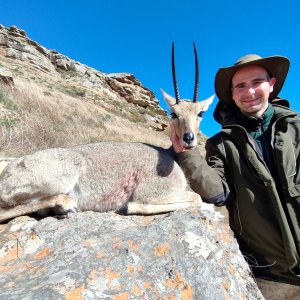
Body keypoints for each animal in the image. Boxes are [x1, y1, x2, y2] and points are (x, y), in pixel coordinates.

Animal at [0, 44, 213, 223]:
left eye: (200, 113)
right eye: (174, 113)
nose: (188, 138)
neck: (169, 156)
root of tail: (8, 172)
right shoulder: (152, 192)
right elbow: (197, 199)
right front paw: (128, 207)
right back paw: (66, 204)